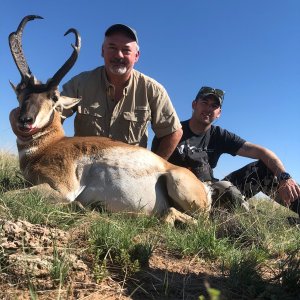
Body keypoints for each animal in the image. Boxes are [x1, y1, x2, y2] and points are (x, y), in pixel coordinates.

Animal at [8, 15, 211, 224]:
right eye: (21, 91)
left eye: (54, 97)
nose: (25, 120)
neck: (49, 145)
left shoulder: (61, 189)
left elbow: (8, 195)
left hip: (179, 186)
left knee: (190, 219)